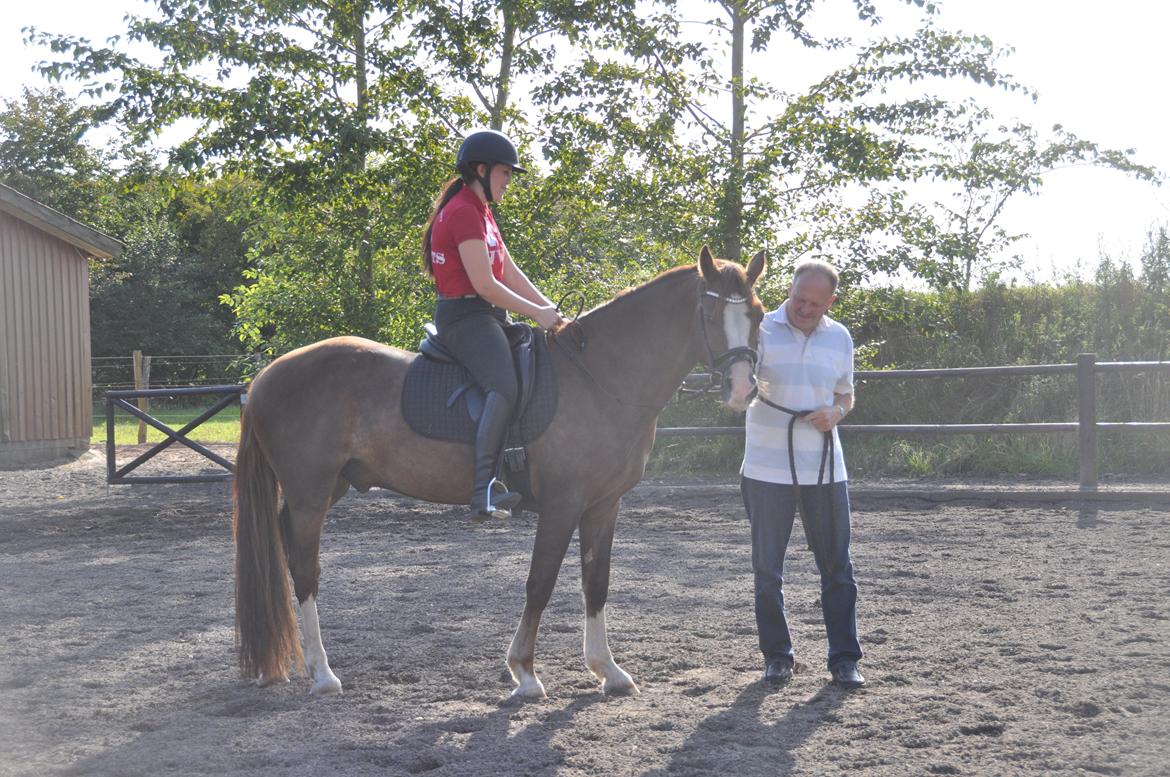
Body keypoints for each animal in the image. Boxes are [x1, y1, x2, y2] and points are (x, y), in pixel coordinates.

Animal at [236, 246, 767, 697]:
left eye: (758, 315)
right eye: (711, 316)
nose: (743, 390)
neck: (600, 377)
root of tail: (265, 376)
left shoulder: (603, 505)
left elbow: (596, 583)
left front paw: (608, 671)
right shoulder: (562, 505)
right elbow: (540, 583)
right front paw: (525, 674)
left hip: (330, 488)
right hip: (310, 495)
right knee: (305, 571)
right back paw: (323, 674)